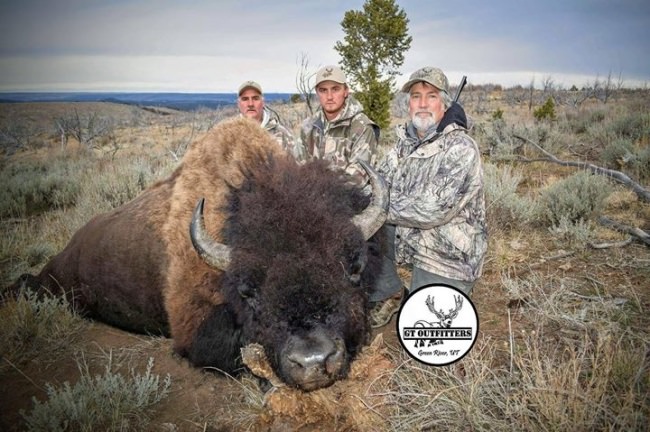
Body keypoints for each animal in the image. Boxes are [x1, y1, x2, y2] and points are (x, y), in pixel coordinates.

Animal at [10, 117, 389, 391]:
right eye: (248, 291)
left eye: (353, 268)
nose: (313, 361)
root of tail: (70, 245)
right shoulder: (192, 330)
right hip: (57, 287)